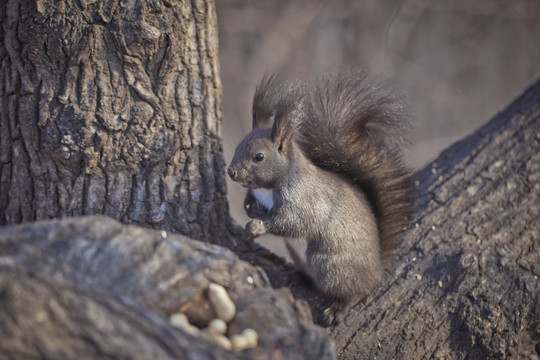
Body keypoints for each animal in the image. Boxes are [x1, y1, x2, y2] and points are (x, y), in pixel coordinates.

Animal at [228, 69, 414, 324]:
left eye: (259, 156)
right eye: (238, 146)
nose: (231, 172)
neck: (268, 187)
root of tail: (376, 269)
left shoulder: (306, 202)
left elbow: (293, 223)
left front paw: (256, 226)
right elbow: (251, 204)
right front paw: (252, 210)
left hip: (329, 265)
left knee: (354, 291)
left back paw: (339, 308)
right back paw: (299, 275)